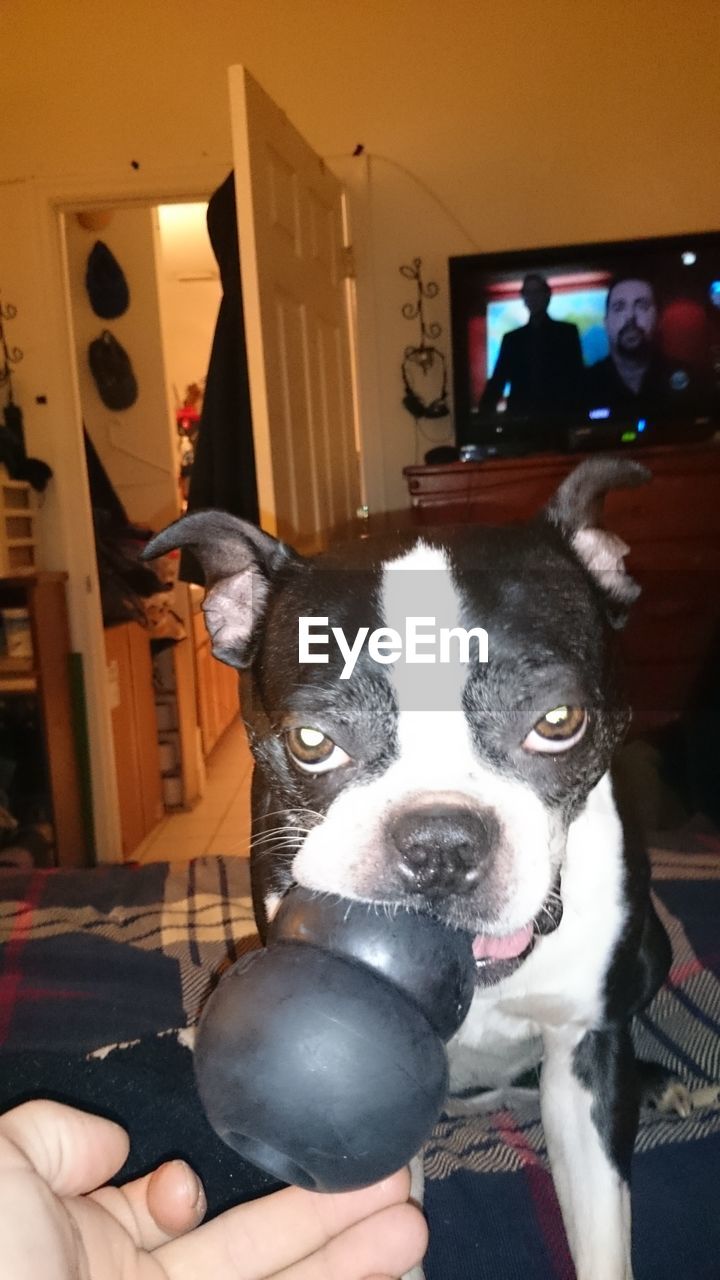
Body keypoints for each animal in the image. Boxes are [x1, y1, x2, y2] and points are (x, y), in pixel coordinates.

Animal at [146, 460, 691, 1280]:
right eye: (312, 741)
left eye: (557, 722)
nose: (439, 843)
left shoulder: (585, 1051)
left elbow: (602, 1237)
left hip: (649, 952)